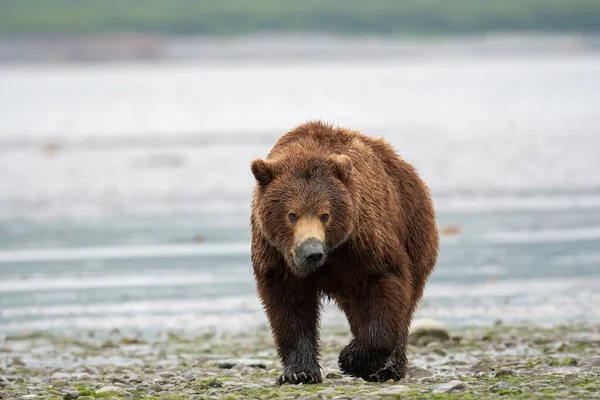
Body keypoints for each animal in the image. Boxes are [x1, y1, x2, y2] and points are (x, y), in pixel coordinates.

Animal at [251, 119, 438, 384]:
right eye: (292, 214)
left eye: (325, 214)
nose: (311, 252)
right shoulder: (276, 256)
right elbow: (288, 306)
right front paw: (300, 372)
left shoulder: (363, 240)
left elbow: (386, 282)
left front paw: (351, 358)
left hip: (414, 231)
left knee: (405, 302)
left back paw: (389, 368)